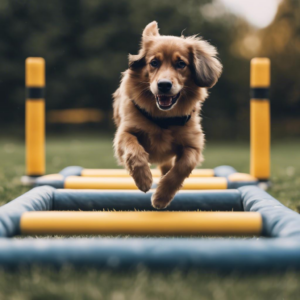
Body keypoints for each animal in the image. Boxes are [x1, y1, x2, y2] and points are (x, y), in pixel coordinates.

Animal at [113, 21, 221, 209]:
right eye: (154, 62)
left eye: (181, 64)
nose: (164, 85)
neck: (163, 119)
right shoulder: (124, 133)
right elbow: (134, 151)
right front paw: (143, 179)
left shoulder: (193, 145)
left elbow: (183, 166)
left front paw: (161, 197)